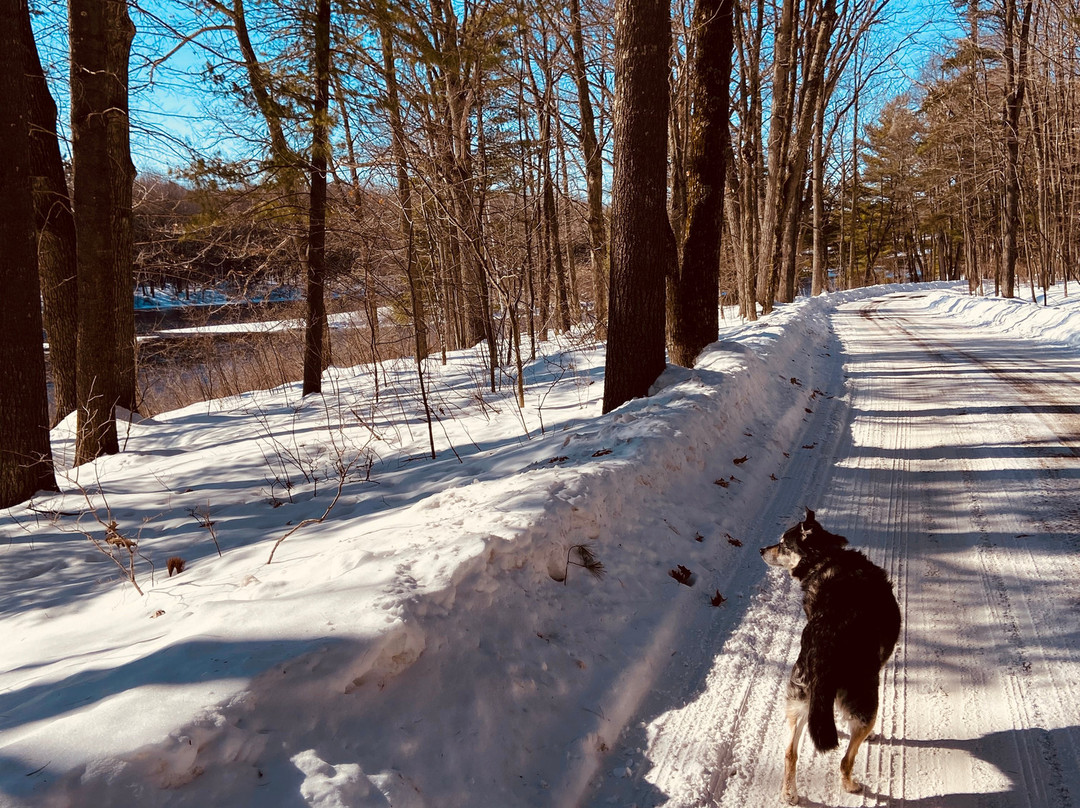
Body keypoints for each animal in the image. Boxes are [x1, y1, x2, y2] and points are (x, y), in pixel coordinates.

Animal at [760, 507, 902, 803]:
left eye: (783, 544)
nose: (761, 550)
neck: (825, 560)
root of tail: (822, 649)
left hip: (798, 700)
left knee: (790, 753)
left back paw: (789, 794)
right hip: (866, 704)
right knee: (846, 760)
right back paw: (852, 785)